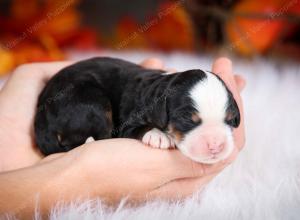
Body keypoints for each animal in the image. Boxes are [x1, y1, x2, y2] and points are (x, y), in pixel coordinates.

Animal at [35, 57, 240, 164]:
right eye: (187, 119)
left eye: (230, 120)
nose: (216, 146)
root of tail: (41, 116)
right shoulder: (128, 121)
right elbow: (137, 128)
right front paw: (158, 135)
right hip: (93, 104)